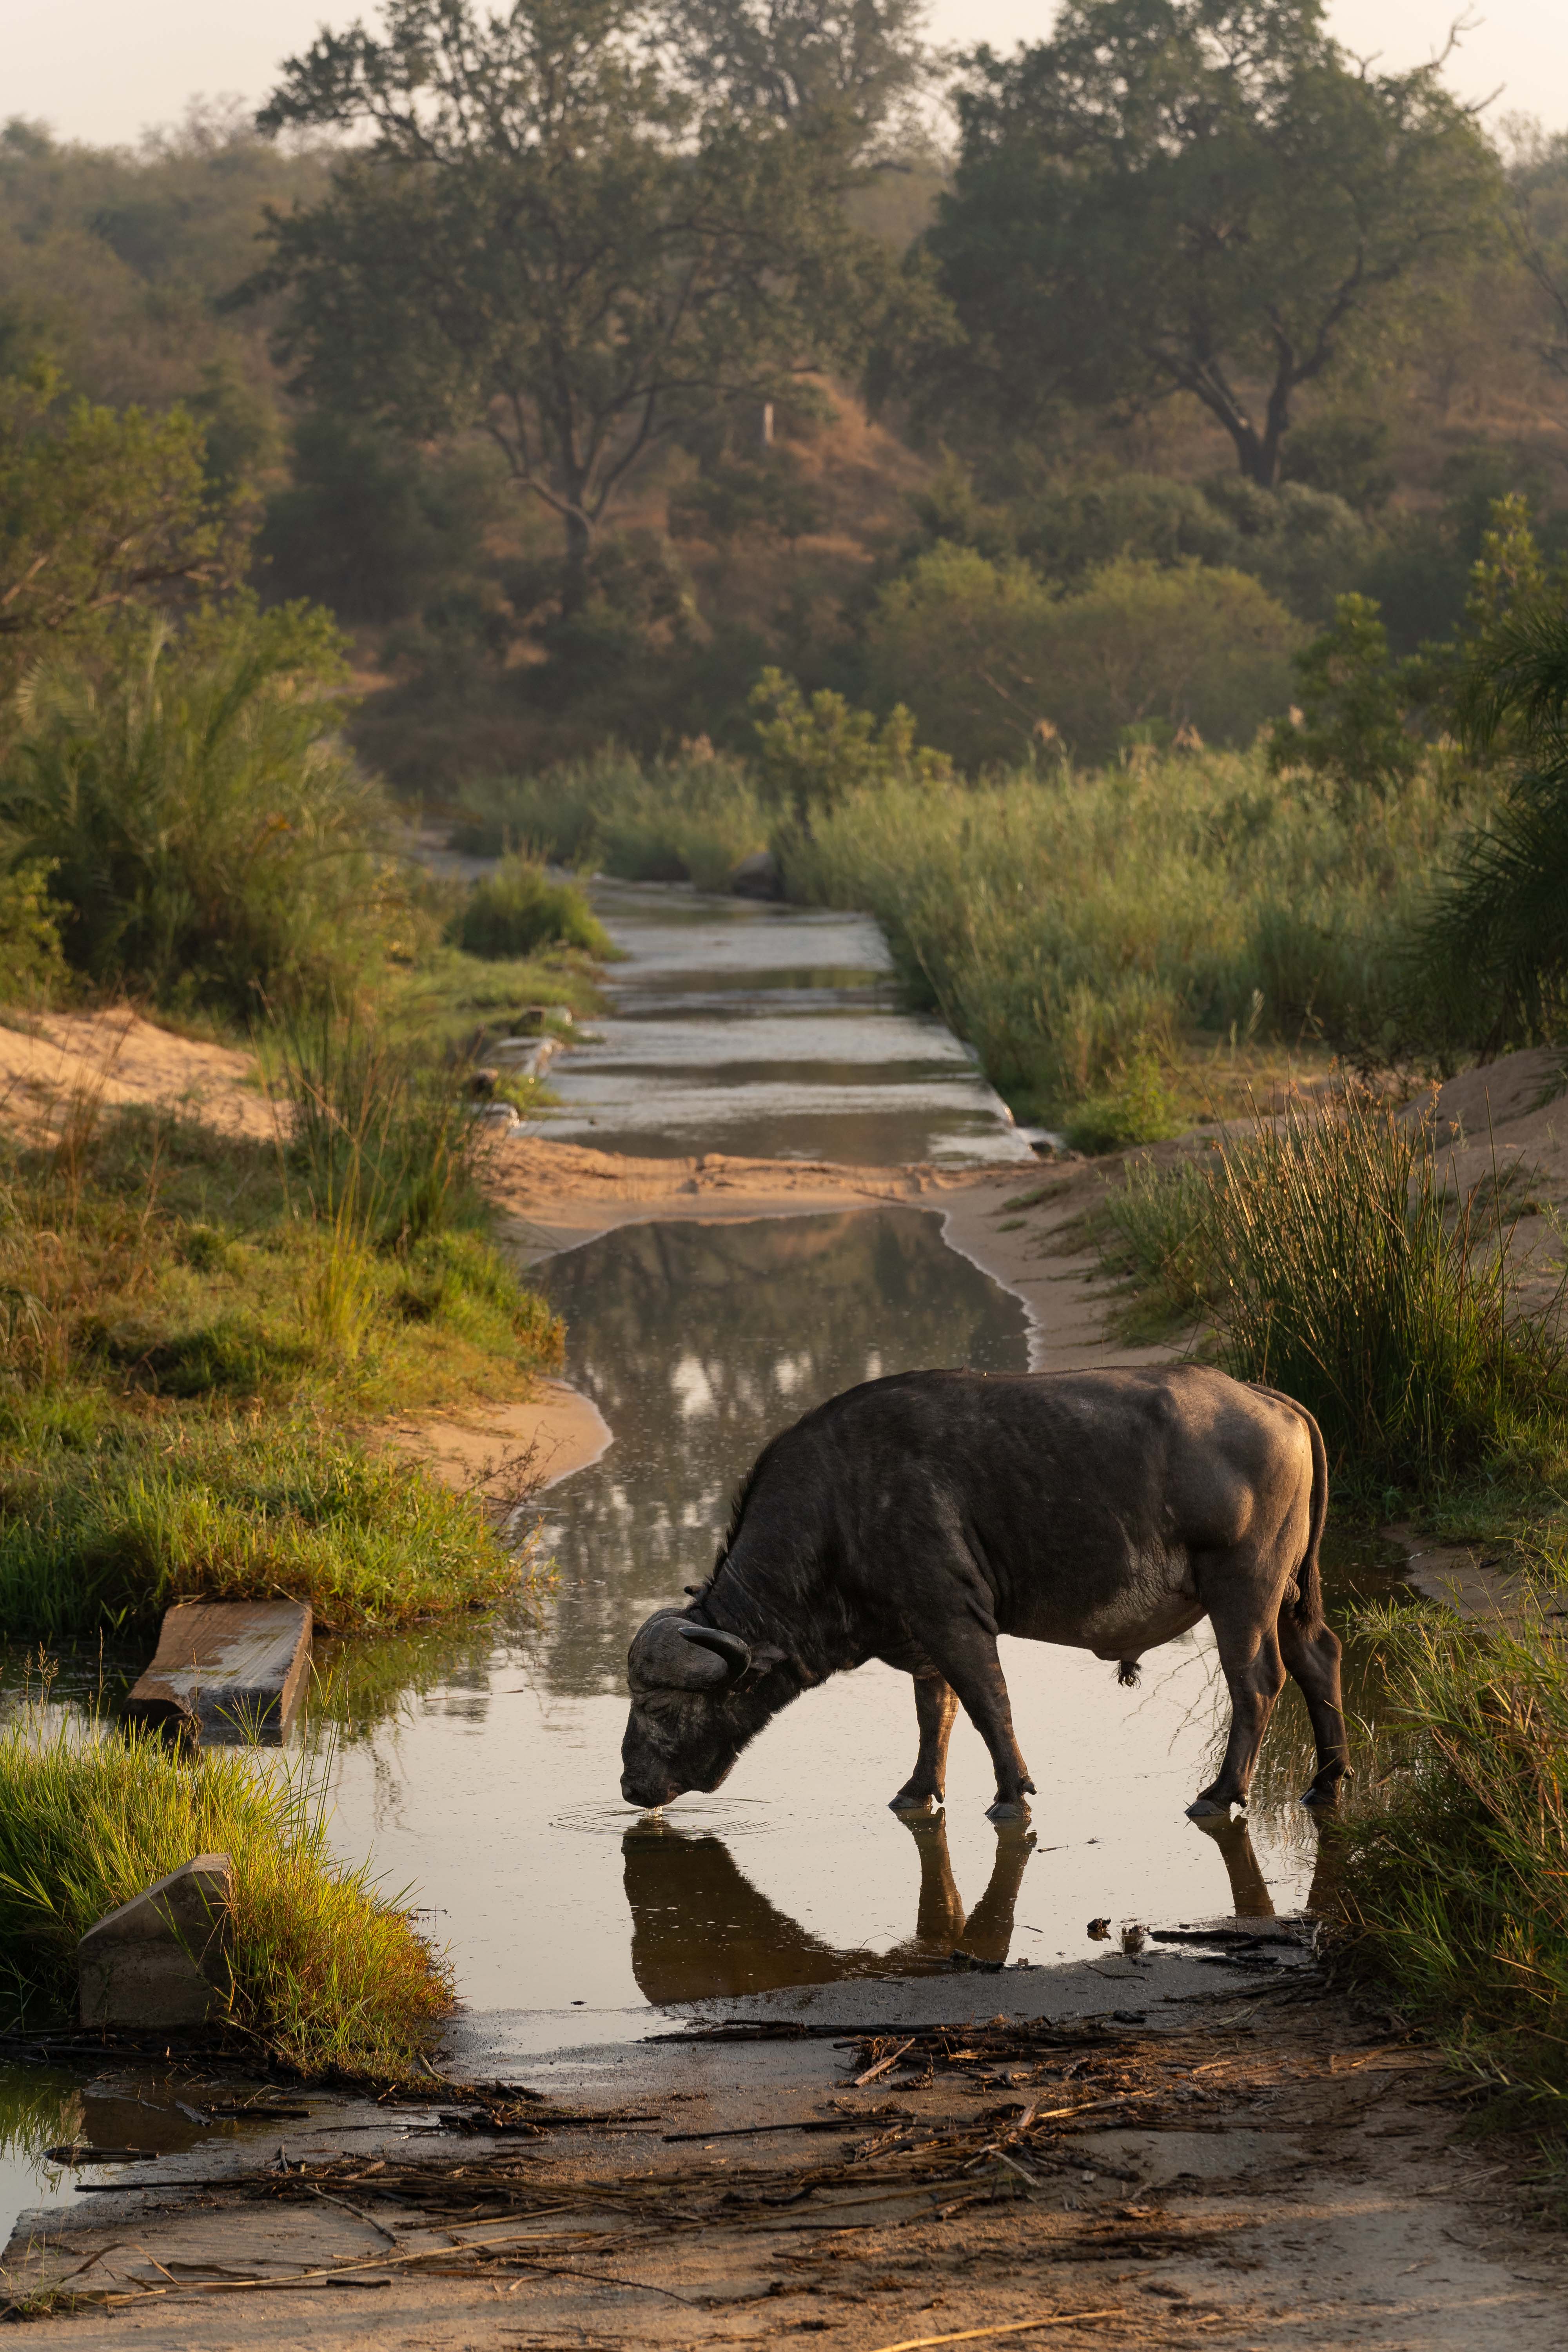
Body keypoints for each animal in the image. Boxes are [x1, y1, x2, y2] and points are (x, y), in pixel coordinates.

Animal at [621, 1365, 1347, 1821]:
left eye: (657, 1706)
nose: (630, 1785)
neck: (841, 1506)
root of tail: (1275, 1402)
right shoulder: (922, 1632)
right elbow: (934, 1714)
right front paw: (918, 1791)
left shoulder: (953, 1616)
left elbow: (986, 1703)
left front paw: (1011, 1794)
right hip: (1290, 1594)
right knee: (1319, 1658)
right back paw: (1326, 1783)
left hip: (1242, 1588)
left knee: (1257, 1682)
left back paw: (1221, 1794)